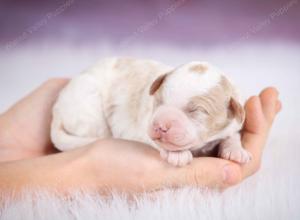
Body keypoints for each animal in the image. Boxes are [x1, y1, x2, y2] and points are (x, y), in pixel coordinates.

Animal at [51, 57, 251, 166]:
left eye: (195, 111)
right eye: (159, 101)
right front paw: (177, 155)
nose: (161, 126)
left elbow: (232, 134)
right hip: (88, 110)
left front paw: (236, 151)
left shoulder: (234, 120)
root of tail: (57, 108)